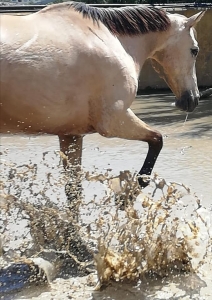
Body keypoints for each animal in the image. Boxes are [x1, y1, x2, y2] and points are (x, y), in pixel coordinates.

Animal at [0, 2, 205, 188]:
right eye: (194, 50)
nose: (192, 99)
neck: (110, 39)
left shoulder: (71, 135)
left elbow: (73, 191)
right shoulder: (114, 120)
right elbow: (157, 140)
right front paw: (136, 187)